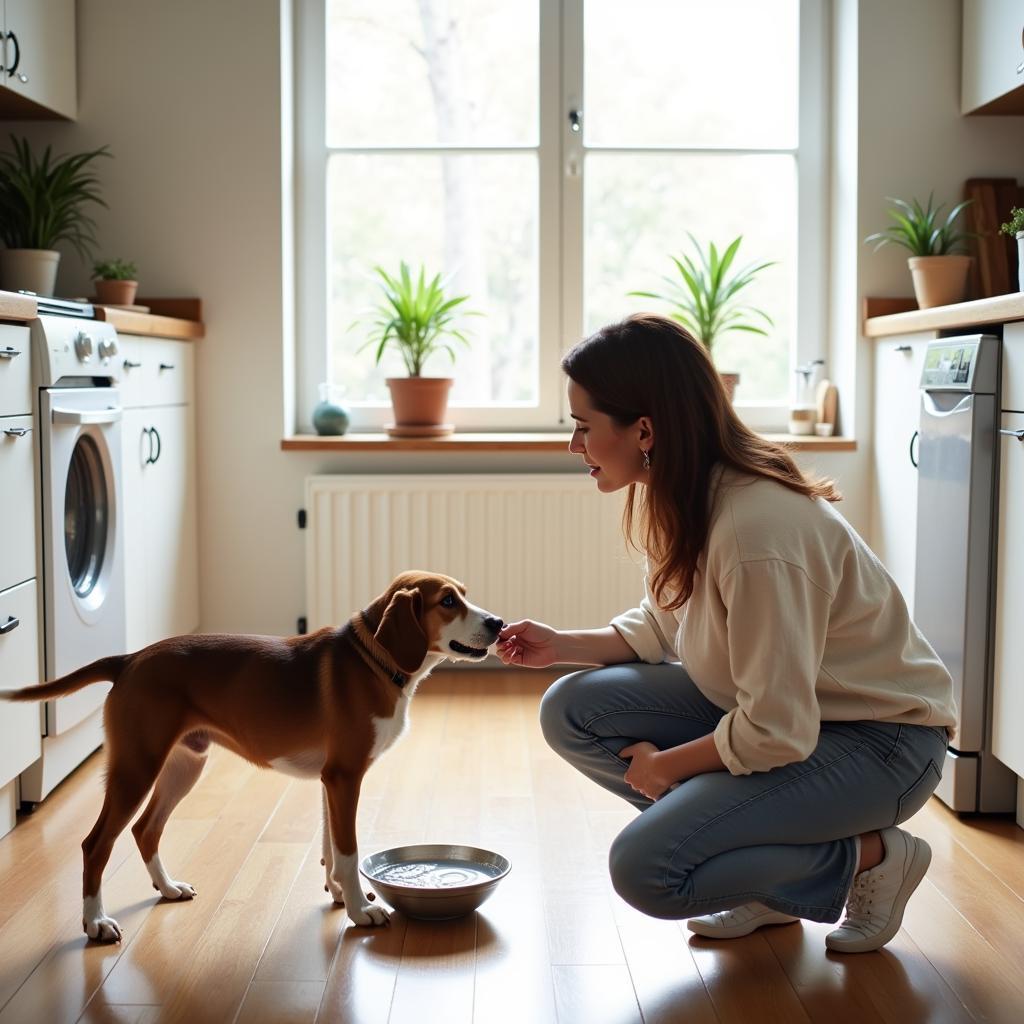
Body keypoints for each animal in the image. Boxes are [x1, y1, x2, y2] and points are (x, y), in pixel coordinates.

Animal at [1, 573, 503, 937]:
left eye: (464, 595)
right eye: (447, 602)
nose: (498, 623)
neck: (372, 662)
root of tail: (129, 659)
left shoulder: (331, 781)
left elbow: (329, 847)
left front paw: (340, 894)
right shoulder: (345, 777)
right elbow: (347, 849)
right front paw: (361, 911)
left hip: (184, 764)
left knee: (146, 830)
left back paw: (167, 888)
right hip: (136, 767)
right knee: (96, 844)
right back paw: (95, 923)